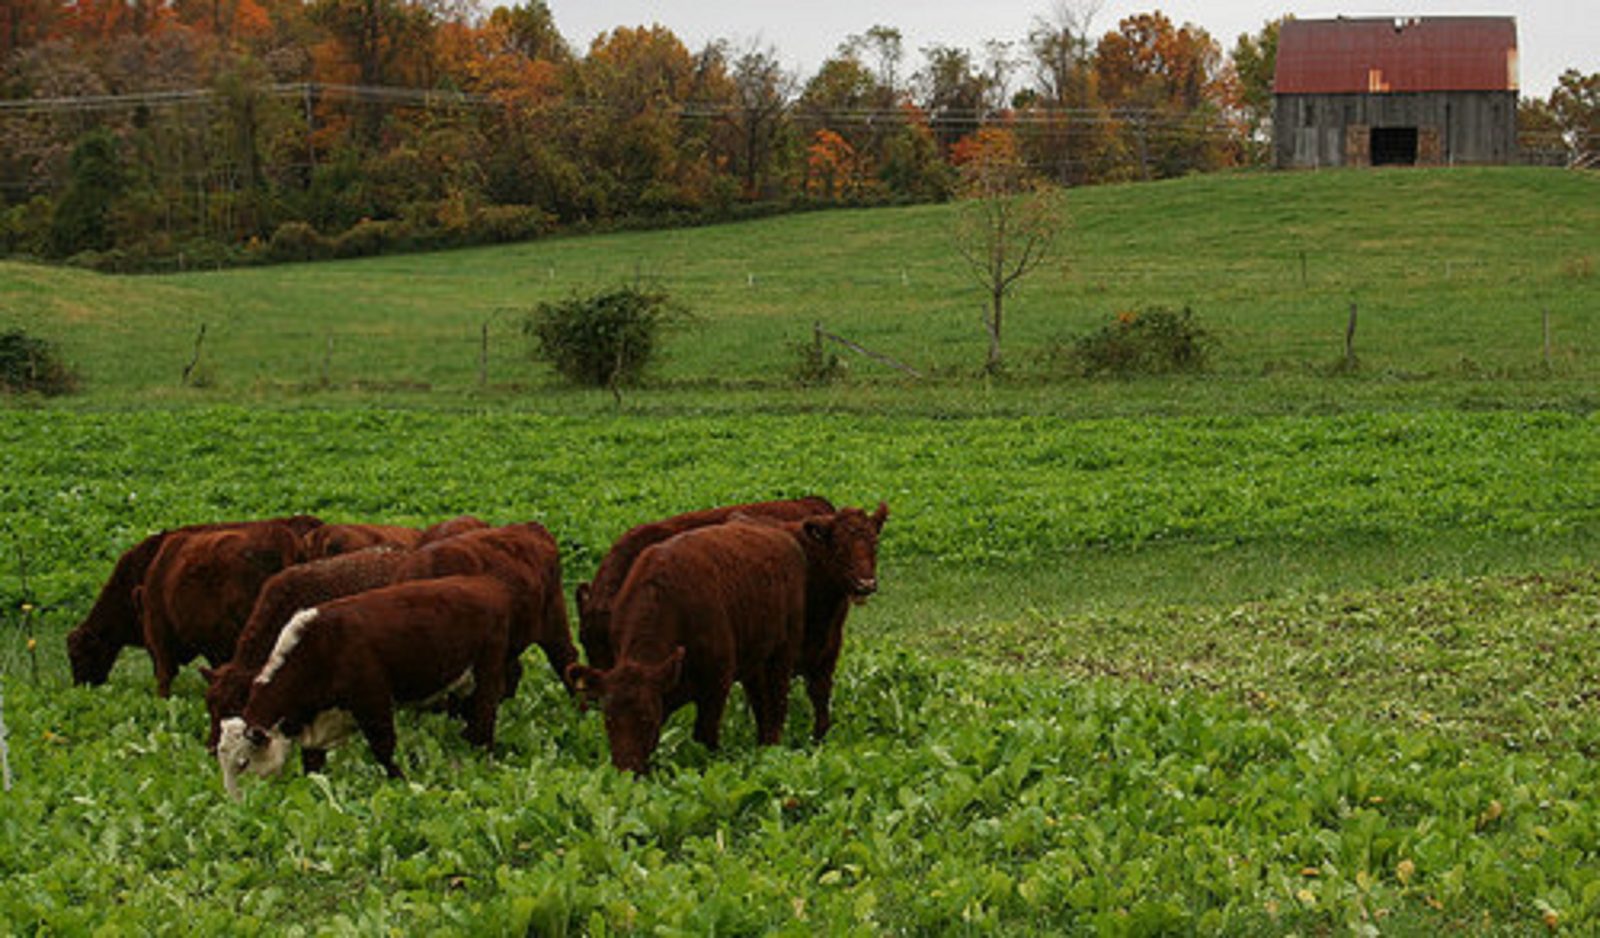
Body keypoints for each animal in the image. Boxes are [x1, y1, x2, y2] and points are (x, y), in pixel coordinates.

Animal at [216, 574, 514, 798]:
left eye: (243, 763)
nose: (238, 805)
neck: (320, 648)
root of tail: (485, 584)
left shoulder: (373, 702)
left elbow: (384, 750)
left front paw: (402, 783)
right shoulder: (319, 728)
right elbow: (312, 766)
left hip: (487, 673)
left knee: (485, 718)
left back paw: (484, 760)